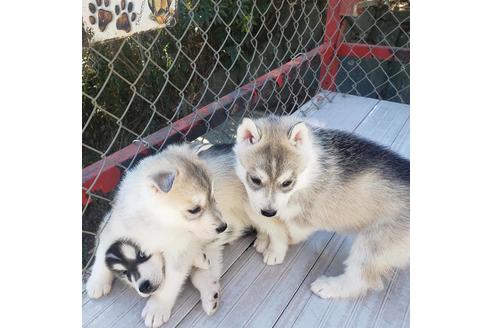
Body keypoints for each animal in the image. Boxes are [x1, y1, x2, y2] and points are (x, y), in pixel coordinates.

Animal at [233, 116, 410, 300]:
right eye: (255, 179)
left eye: (287, 183)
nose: (268, 212)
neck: (307, 175)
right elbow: (267, 222)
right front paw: (263, 237)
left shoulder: (307, 217)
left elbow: (282, 230)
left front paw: (277, 250)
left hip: (374, 242)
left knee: (361, 277)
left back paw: (329, 287)